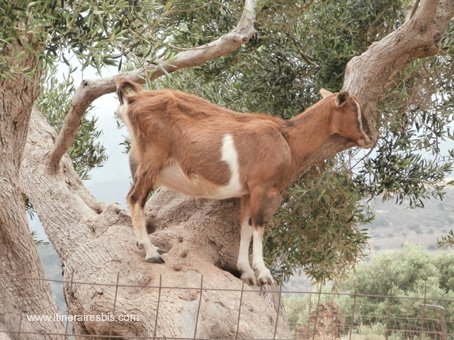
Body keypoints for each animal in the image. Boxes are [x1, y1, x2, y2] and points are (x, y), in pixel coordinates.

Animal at [116, 79, 372, 284]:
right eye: (354, 109)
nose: (369, 137)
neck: (287, 138)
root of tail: (131, 100)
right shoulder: (261, 187)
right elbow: (259, 225)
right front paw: (264, 274)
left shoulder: (247, 193)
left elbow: (245, 227)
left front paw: (246, 272)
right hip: (150, 164)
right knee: (135, 198)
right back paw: (151, 253)